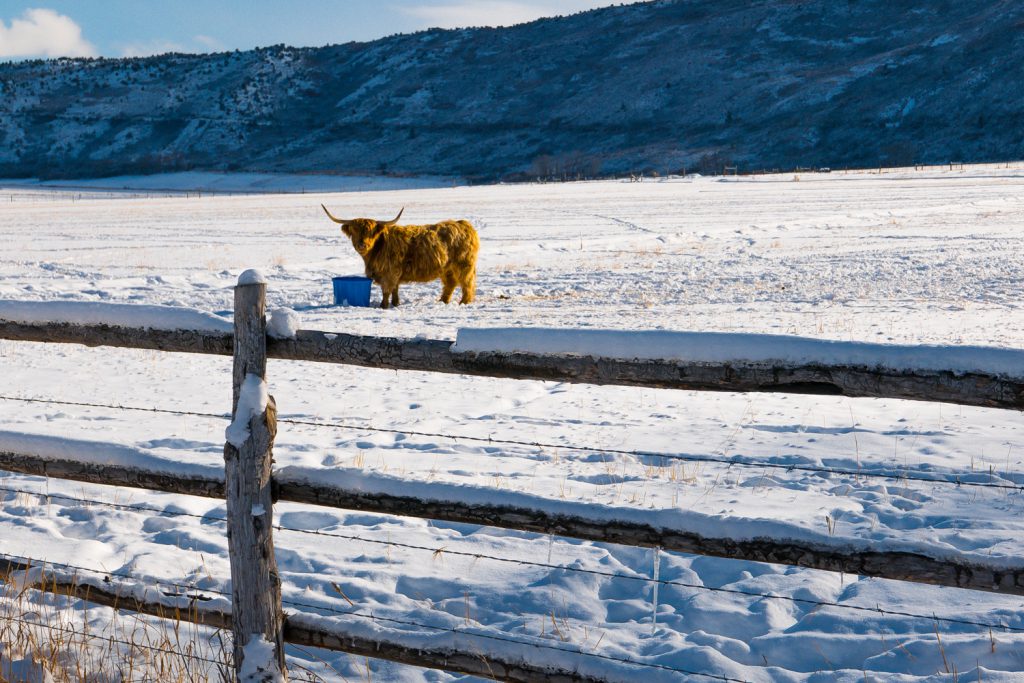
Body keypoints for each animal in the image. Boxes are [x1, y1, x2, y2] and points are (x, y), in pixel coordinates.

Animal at [321, 202, 477, 309]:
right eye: (354, 231)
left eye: (371, 232)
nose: (362, 245)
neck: (376, 250)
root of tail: (464, 224)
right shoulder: (394, 273)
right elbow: (395, 289)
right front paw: (395, 303)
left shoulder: (389, 273)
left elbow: (386, 290)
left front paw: (383, 306)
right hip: (447, 268)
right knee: (450, 284)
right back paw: (443, 301)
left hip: (464, 265)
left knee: (467, 283)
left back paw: (464, 302)